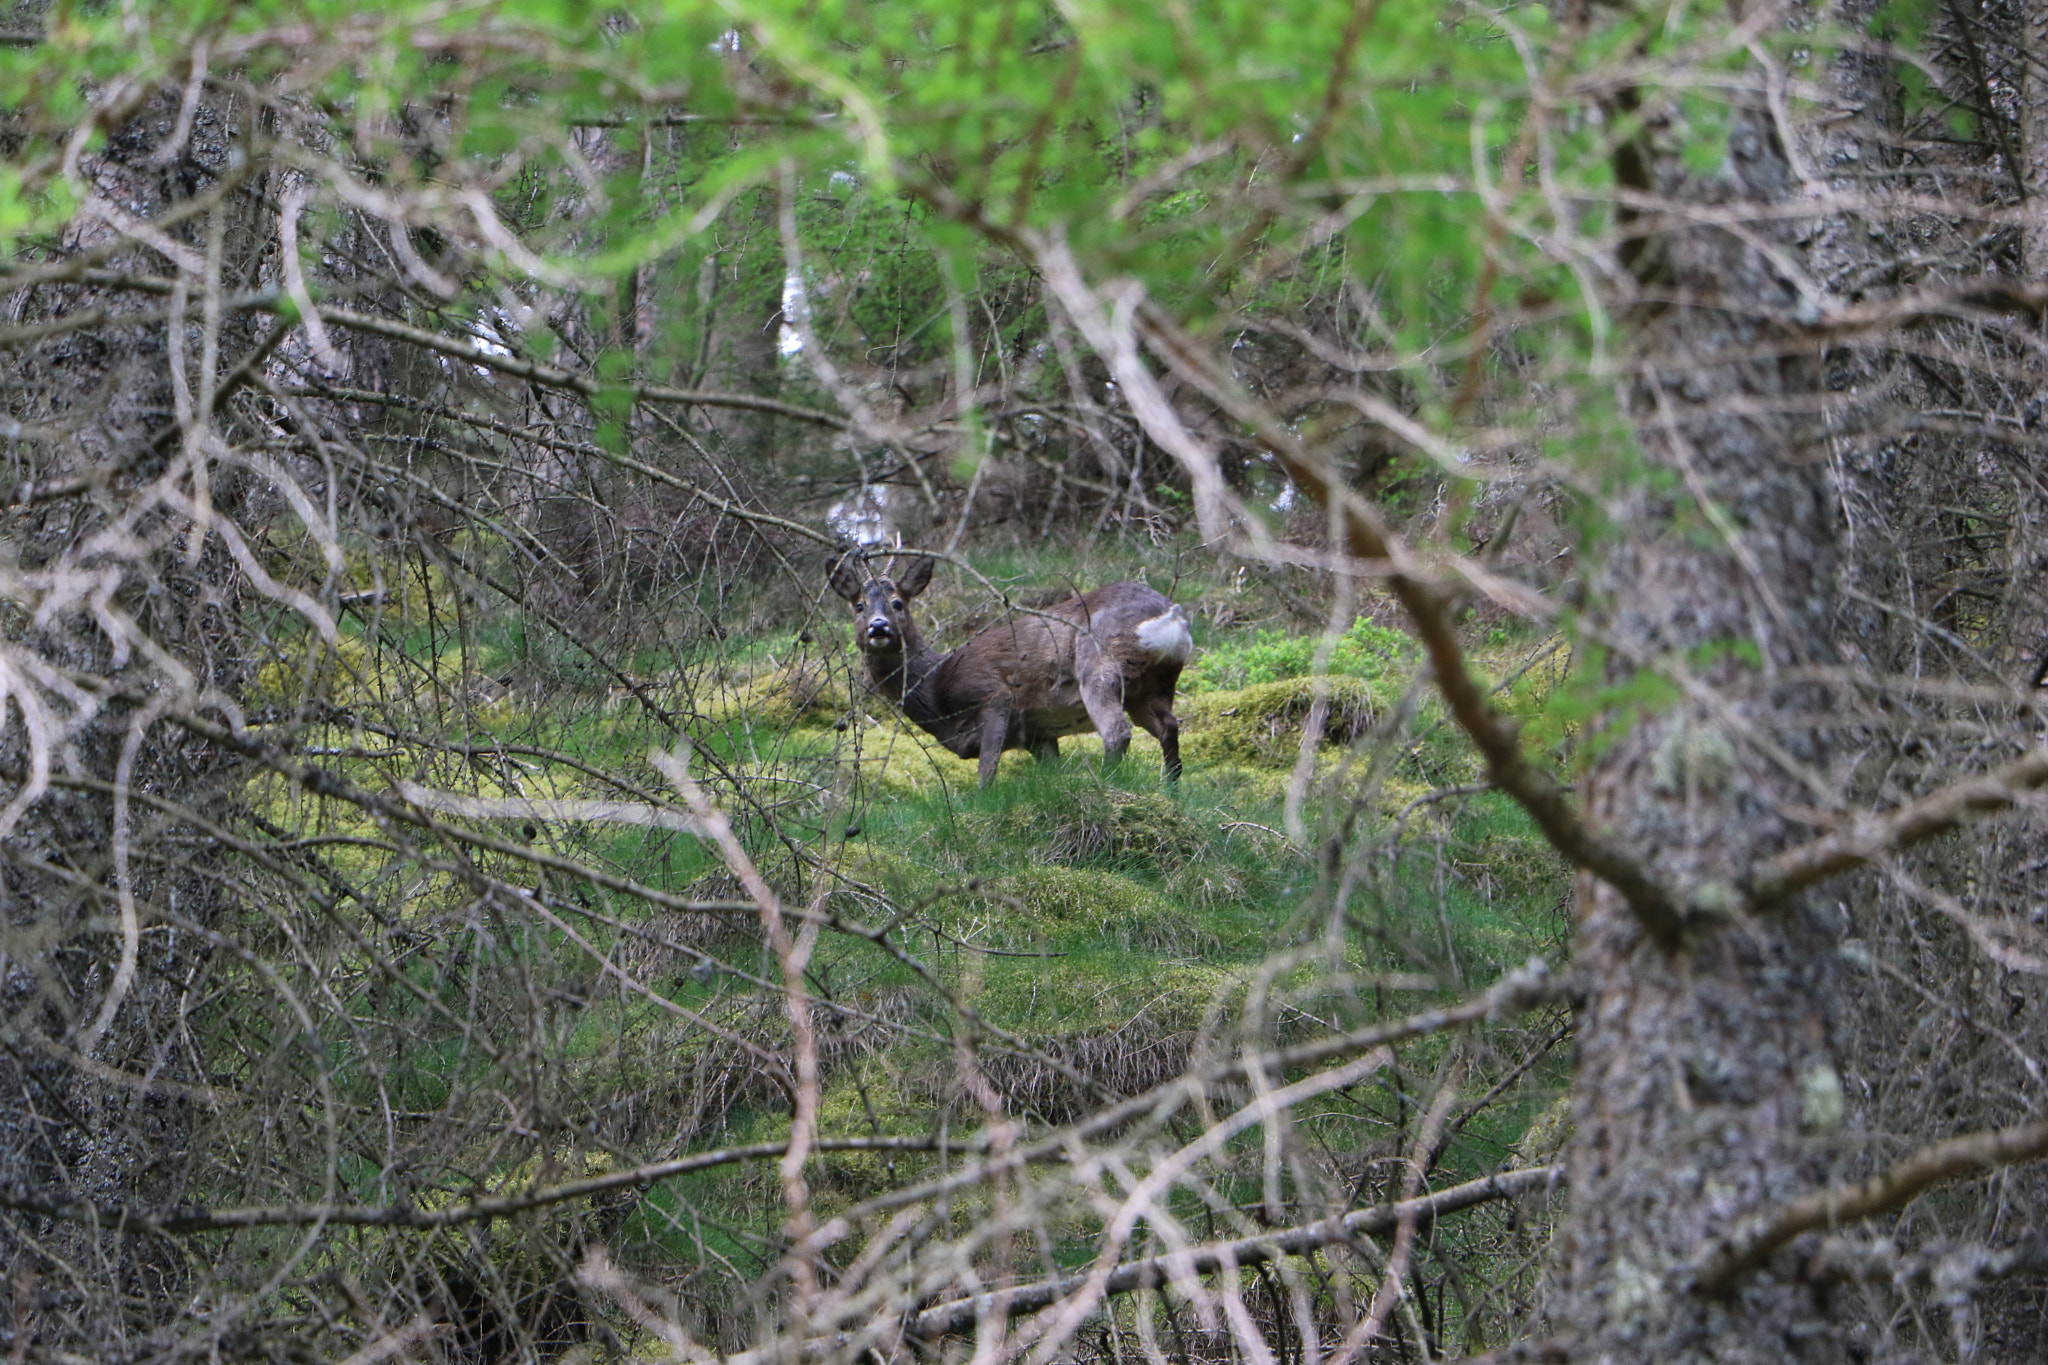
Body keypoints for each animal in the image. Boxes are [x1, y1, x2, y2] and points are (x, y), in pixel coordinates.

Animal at [827, 553, 1192, 788]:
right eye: (859, 606)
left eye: (898, 603)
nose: (878, 626)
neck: (936, 686)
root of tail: (1172, 615)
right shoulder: (1037, 733)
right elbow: (1051, 770)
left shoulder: (992, 694)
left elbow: (987, 771)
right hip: (1154, 686)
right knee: (1169, 727)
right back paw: (1170, 792)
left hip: (1098, 664)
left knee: (1117, 732)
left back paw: (1106, 786)